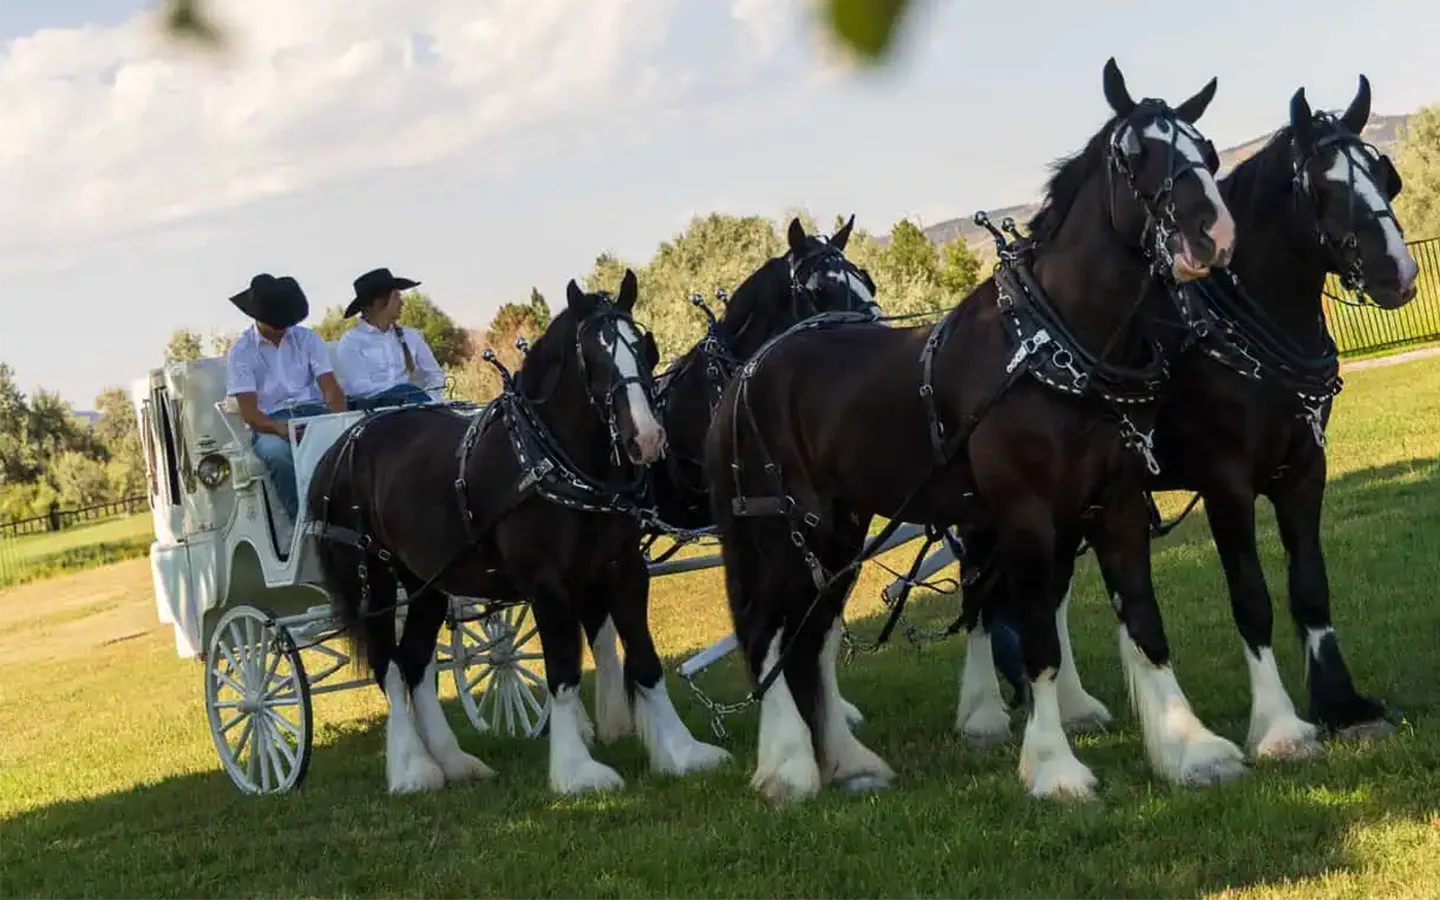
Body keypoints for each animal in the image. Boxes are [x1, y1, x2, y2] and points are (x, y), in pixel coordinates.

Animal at [307, 271, 728, 796]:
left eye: (643, 350)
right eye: (592, 358)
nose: (647, 440)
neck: (553, 460)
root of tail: (343, 444)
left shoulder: (625, 569)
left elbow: (645, 659)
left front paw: (682, 752)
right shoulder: (547, 584)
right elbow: (563, 669)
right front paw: (576, 771)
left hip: (426, 582)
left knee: (415, 662)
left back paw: (454, 763)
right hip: (374, 580)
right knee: (388, 664)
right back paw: (412, 770)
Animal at [704, 57, 1237, 803]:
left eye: (1207, 151)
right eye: (1133, 154)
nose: (1210, 234)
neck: (1052, 346)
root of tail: (746, 374)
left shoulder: (1117, 504)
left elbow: (1144, 623)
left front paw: (1190, 749)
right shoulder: (1025, 517)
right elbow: (1038, 639)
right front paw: (1054, 766)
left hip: (838, 534)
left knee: (812, 640)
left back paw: (848, 761)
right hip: (779, 533)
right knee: (766, 636)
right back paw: (787, 768)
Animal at [956, 76, 1420, 763]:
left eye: (1385, 176)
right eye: (1323, 186)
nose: (1399, 273)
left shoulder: (1305, 469)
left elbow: (1310, 587)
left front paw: (1341, 704)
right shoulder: (1225, 481)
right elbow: (1251, 597)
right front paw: (1279, 725)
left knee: (1052, 593)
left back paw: (1075, 706)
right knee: (982, 600)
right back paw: (983, 713)